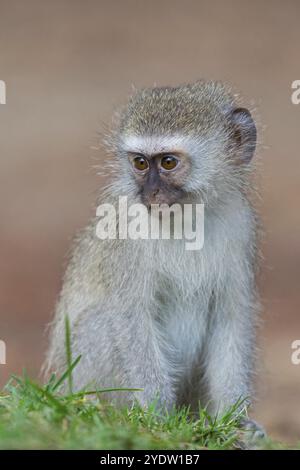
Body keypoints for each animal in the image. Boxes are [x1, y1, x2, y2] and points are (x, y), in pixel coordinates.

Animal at [46, 80, 264, 440]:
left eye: (168, 163)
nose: (151, 194)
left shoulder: (240, 225)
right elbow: (131, 317)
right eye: (140, 163)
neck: (186, 218)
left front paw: (235, 421)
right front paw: (158, 416)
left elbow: (231, 316)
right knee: (100, 321)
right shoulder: (126, 235)